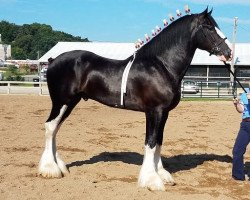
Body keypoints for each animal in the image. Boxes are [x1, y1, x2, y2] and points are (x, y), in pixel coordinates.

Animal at [38, 8, 232, 191]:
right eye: (209, 27)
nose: (228, 52)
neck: (161, 66)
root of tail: (52, 60)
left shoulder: (164, 113)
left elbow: (159, 141)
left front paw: (161, 174)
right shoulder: (154, 111)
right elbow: (151, 142)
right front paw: (151, 180)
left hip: (70, 102)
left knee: (55, 128)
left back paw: (59, 167)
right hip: (61, 101)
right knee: (50, 127)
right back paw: (50, 169)